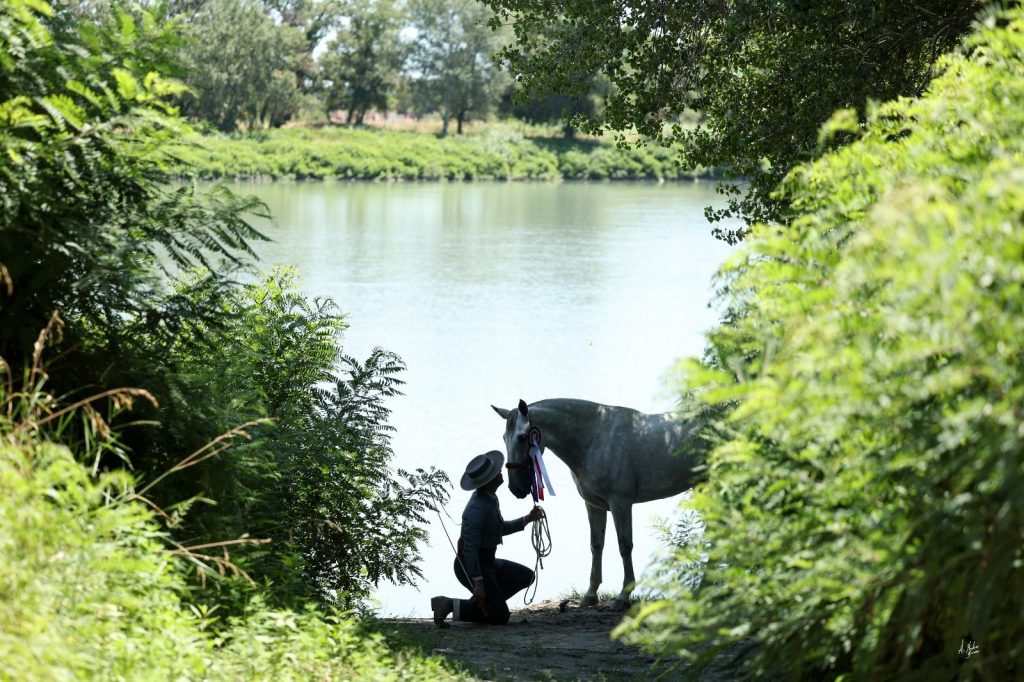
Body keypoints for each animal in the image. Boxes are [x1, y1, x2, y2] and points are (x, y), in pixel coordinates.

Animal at [492, 398, 703, 609]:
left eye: (522, 437)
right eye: (504, 438)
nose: (516, 488)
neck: (595, 437)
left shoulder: (620, 503)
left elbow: (624, 545)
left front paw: (623, 596)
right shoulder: (594, 505)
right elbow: (596, 545)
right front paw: (591, 595)